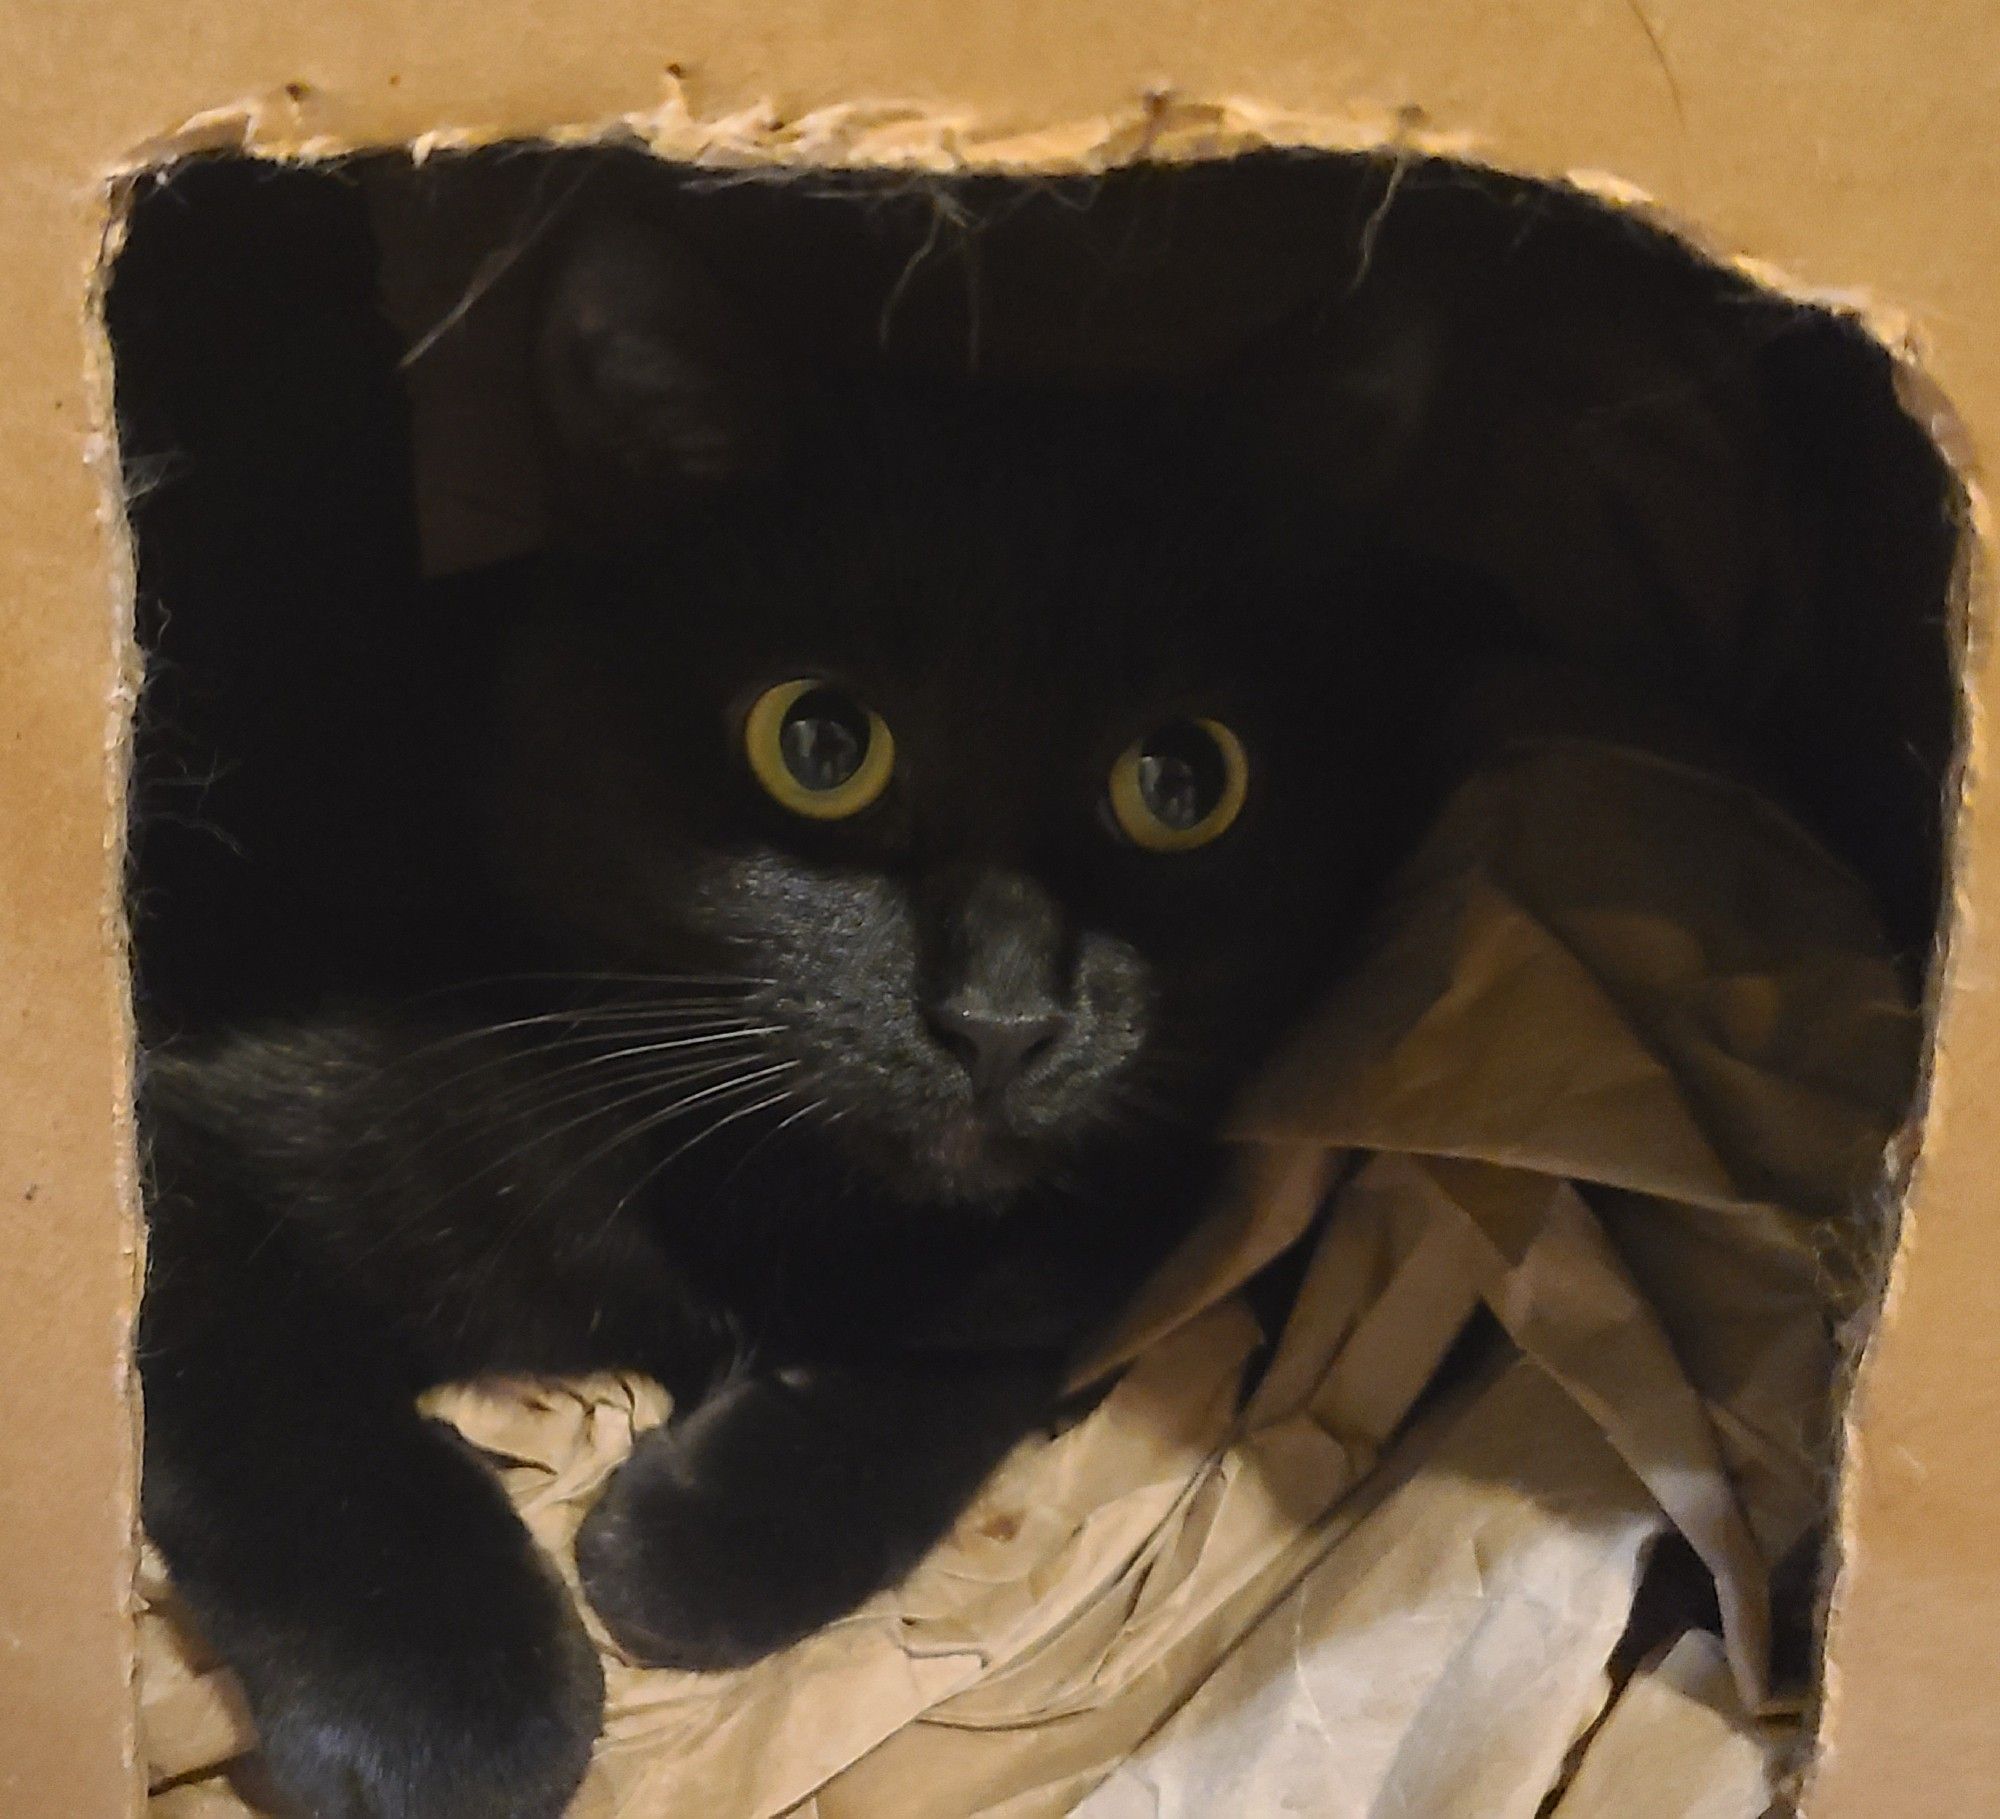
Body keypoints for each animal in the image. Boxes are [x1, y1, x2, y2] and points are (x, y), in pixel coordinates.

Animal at [141, 220, 1480, 1815]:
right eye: (820, 744)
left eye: (1182, 780)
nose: (1001, 1015)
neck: (751, 1193)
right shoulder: (181, 1133)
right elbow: (275, 1397)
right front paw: (445, 1712)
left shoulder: (1153, 1176)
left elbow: (993, 1329)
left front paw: (699, 1546)